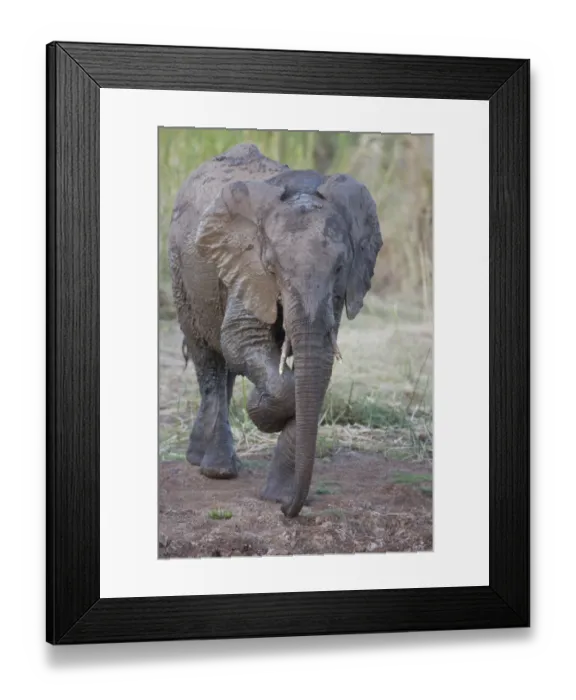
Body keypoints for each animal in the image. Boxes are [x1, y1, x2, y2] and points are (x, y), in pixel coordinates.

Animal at [168, 143, 383, 517]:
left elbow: (318, 364)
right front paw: (261, 409)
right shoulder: (243, 263)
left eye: (340, 267)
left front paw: (277, 495)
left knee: (223, 367)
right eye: (272, 267)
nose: (288, 510)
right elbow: (239, 338)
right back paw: (216, 469)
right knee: (208, 358)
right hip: (181, 273)